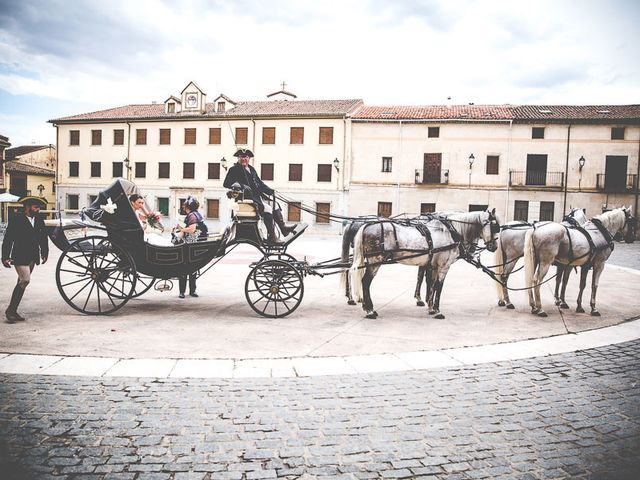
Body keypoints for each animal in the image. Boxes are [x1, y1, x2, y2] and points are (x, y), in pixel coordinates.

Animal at [350, 210, 500, 318]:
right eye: (494, 226)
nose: (495, 247)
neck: (450, 232)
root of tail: (367, 225)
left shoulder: (433, 266)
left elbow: (431, 285)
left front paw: (431, 307)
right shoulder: (444, 267)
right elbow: (438, 286)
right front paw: (437, 310)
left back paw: (368, 307)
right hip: (376, 261)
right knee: (366, 282)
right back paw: (370, 310)